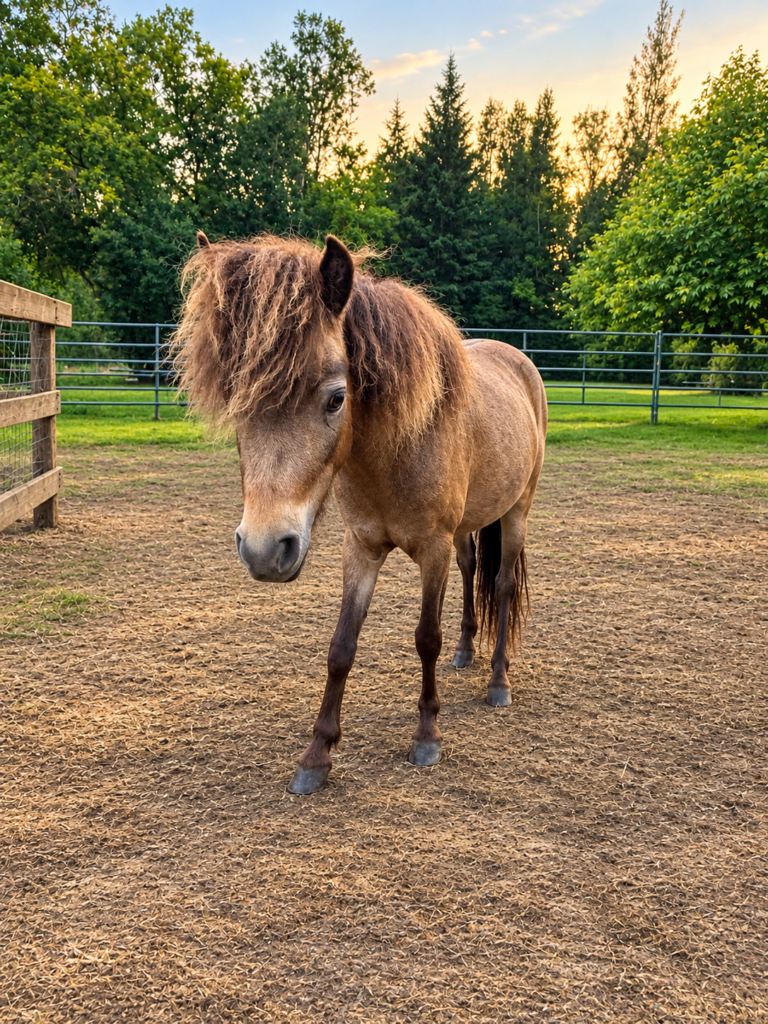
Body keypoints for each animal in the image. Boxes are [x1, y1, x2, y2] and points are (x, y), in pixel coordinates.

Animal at [174, 233, 547, 795]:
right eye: (238, 400)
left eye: (336, 398)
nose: (264, 549)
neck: (395, 448)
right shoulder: (361, 547)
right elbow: (341, 646)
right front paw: (316, 755)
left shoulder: (432, 549)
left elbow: (425, 638)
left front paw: (426, 735)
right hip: (467, 529)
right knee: (471, 571)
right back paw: (467, 652)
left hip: (517, 512)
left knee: (501, 585)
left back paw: (498, 680)